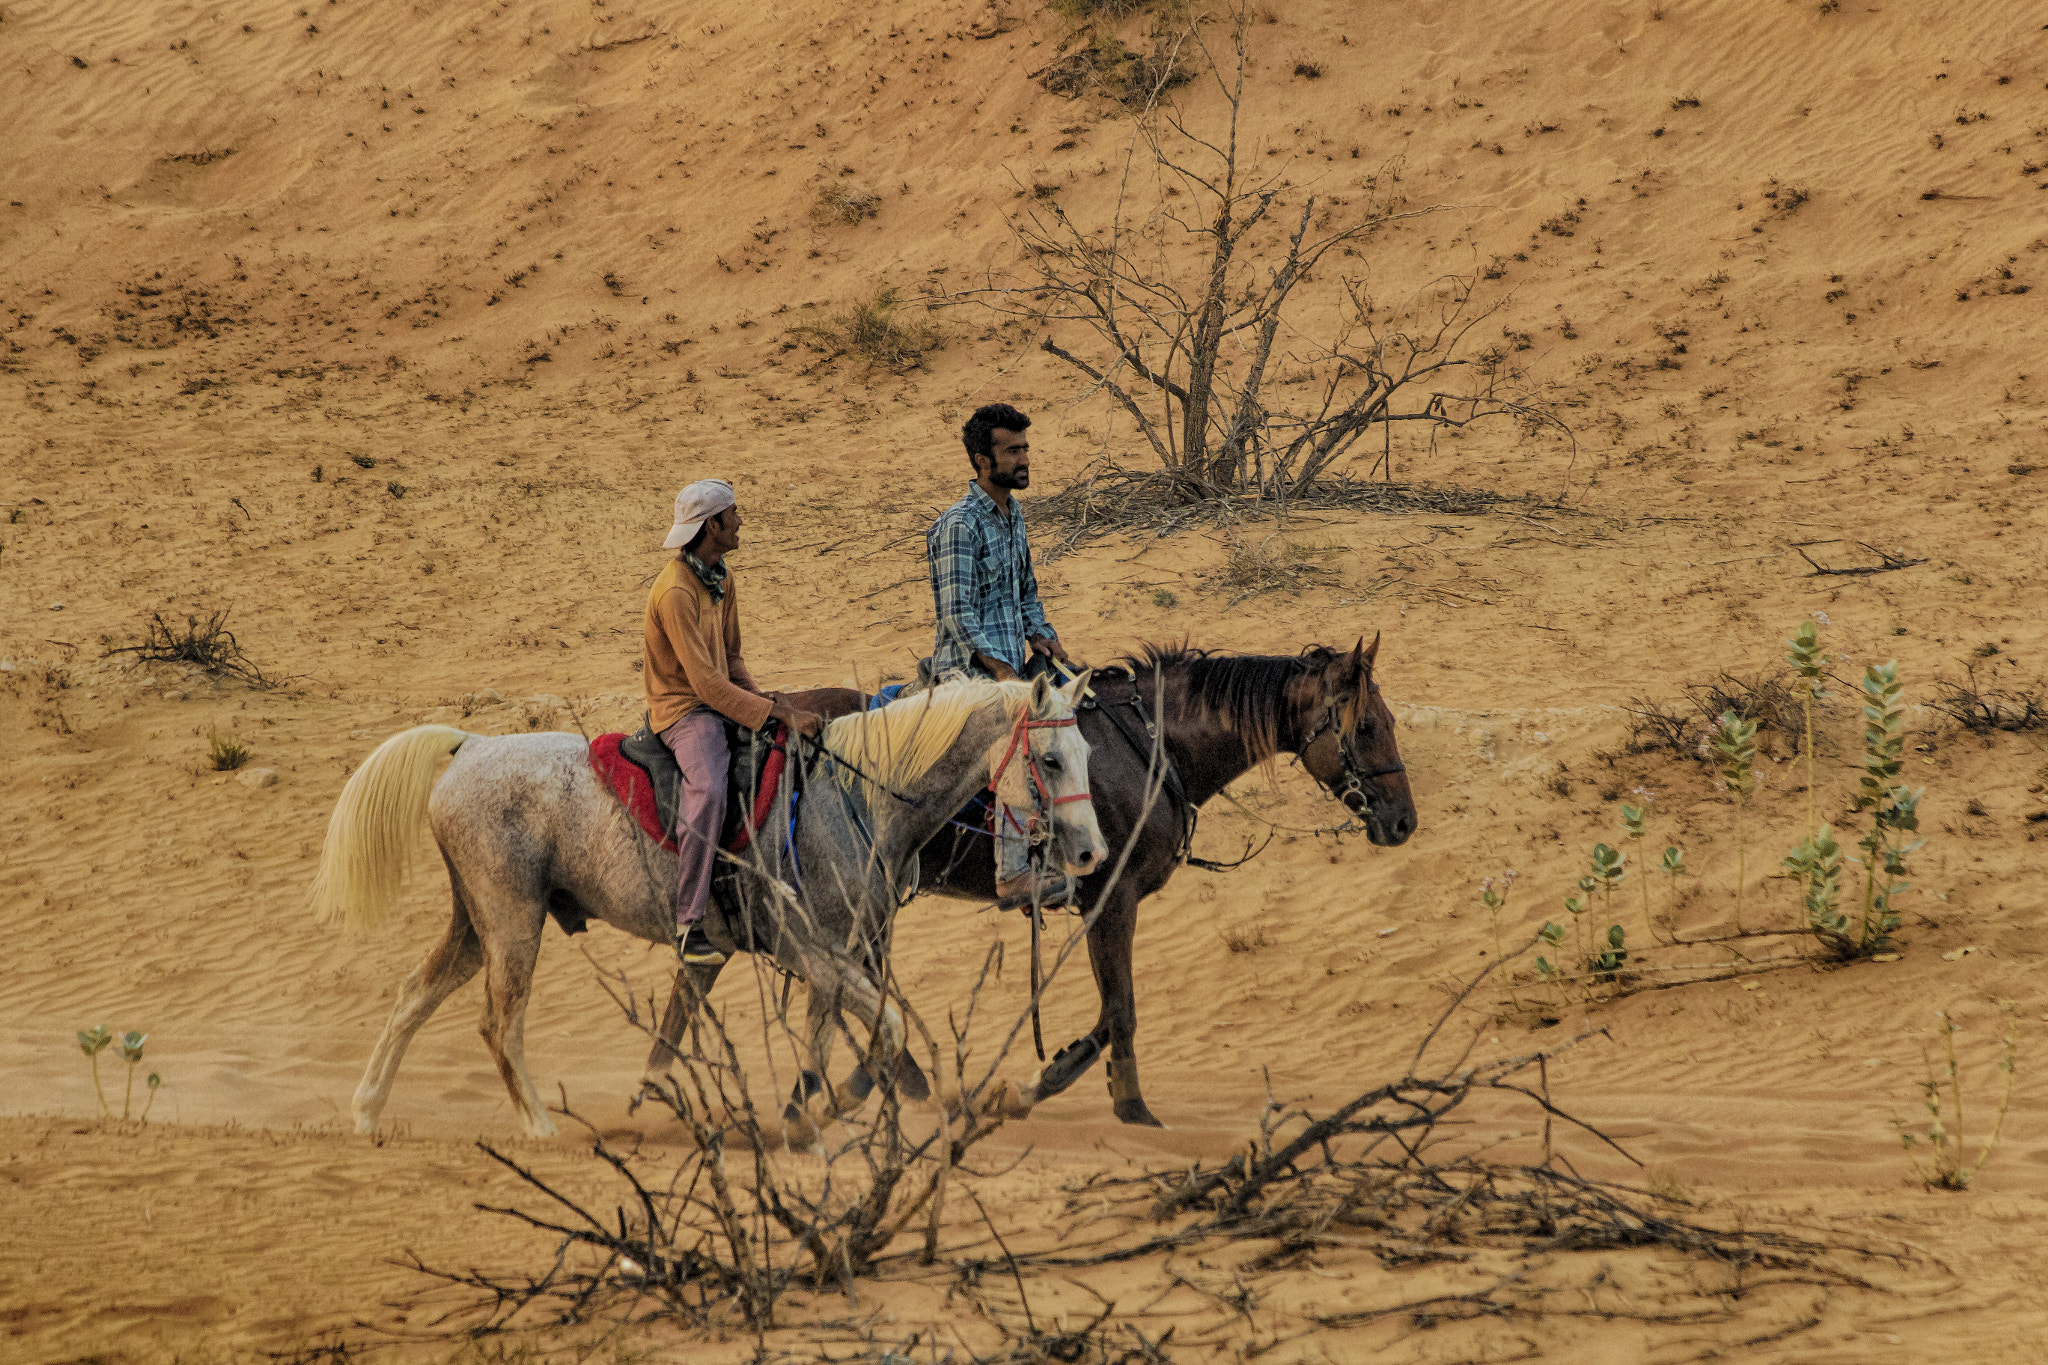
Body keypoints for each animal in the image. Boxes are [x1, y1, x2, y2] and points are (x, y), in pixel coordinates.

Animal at [308, 672, 1105, 1138]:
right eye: (1050, 759)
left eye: (1090, 756)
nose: (1092, 853)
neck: (856, 796)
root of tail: (469, 746)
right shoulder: (811, 951)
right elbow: (882, 1024)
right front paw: (848, 1103)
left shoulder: (834, 954)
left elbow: (827, 1038)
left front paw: (807, 1113)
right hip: (511, 923)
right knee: (498, 1025)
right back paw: (538, 1127)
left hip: (477, 923)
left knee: (414, 996)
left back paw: (367, 1110)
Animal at [647, 636, 1417, 1128]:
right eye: (1369, 727)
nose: (1404, 821)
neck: (1151, 749)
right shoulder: (1111, 898)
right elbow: (1120, 1010)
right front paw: (1089, 1097)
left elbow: (1110, 1013)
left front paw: (1075, 1088)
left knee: (723, 968)